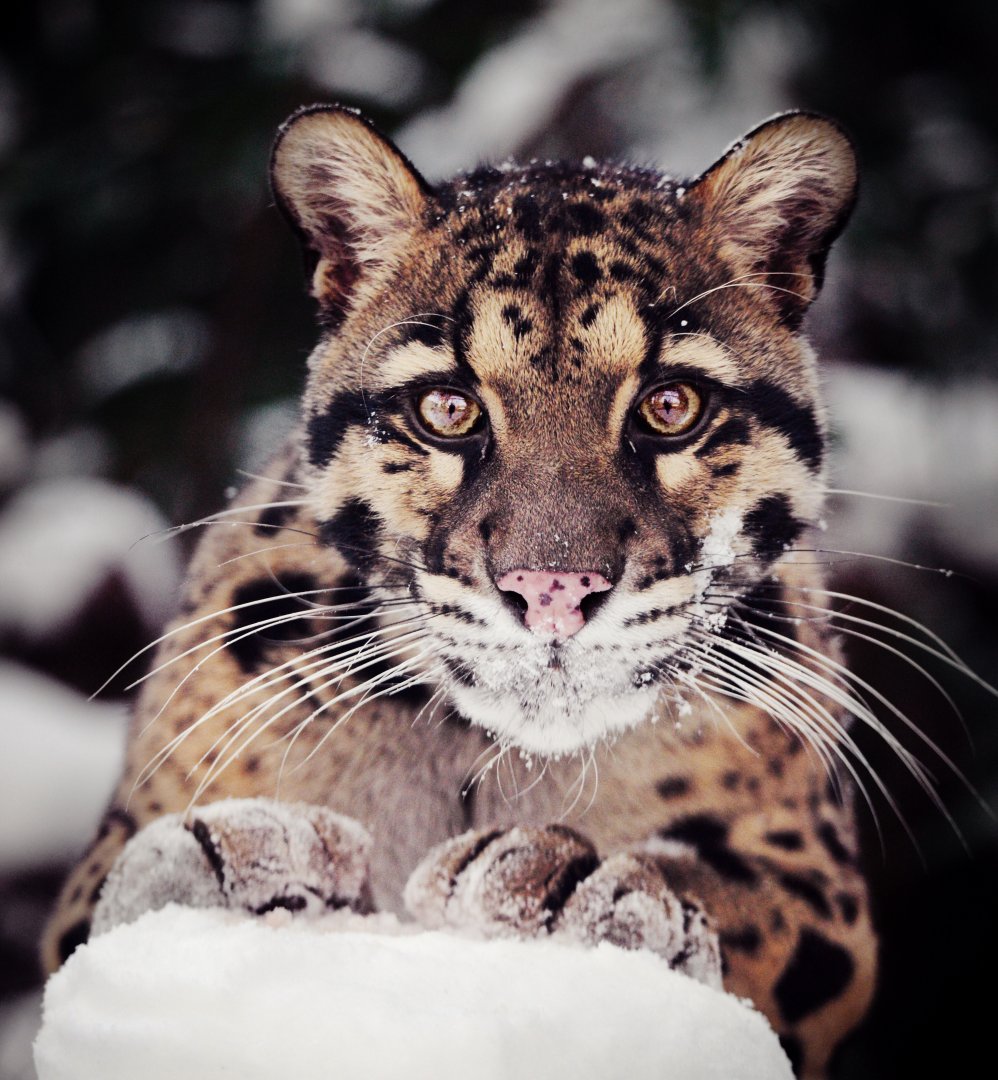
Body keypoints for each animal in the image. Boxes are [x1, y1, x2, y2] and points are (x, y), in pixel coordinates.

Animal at [42, 104, 879, 1078]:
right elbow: (101, 920)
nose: (552, 586)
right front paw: (234, 857)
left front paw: (590, 889)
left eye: (671, 406)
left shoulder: (818, 875)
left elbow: (754, 907)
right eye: (448, 409)